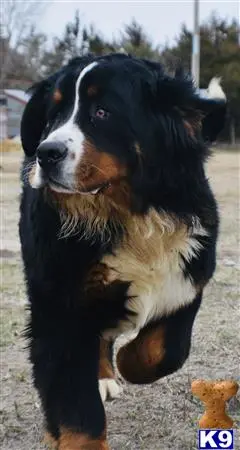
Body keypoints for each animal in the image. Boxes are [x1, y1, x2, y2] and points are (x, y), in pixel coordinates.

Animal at [19, 53, 227, 450]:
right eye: (52, 116)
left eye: (102, 112)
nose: (46, 153)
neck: (127, 215)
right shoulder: (59, 302)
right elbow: (76, 405)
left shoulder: (188, 273)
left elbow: (164, 349)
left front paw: (131, 362)